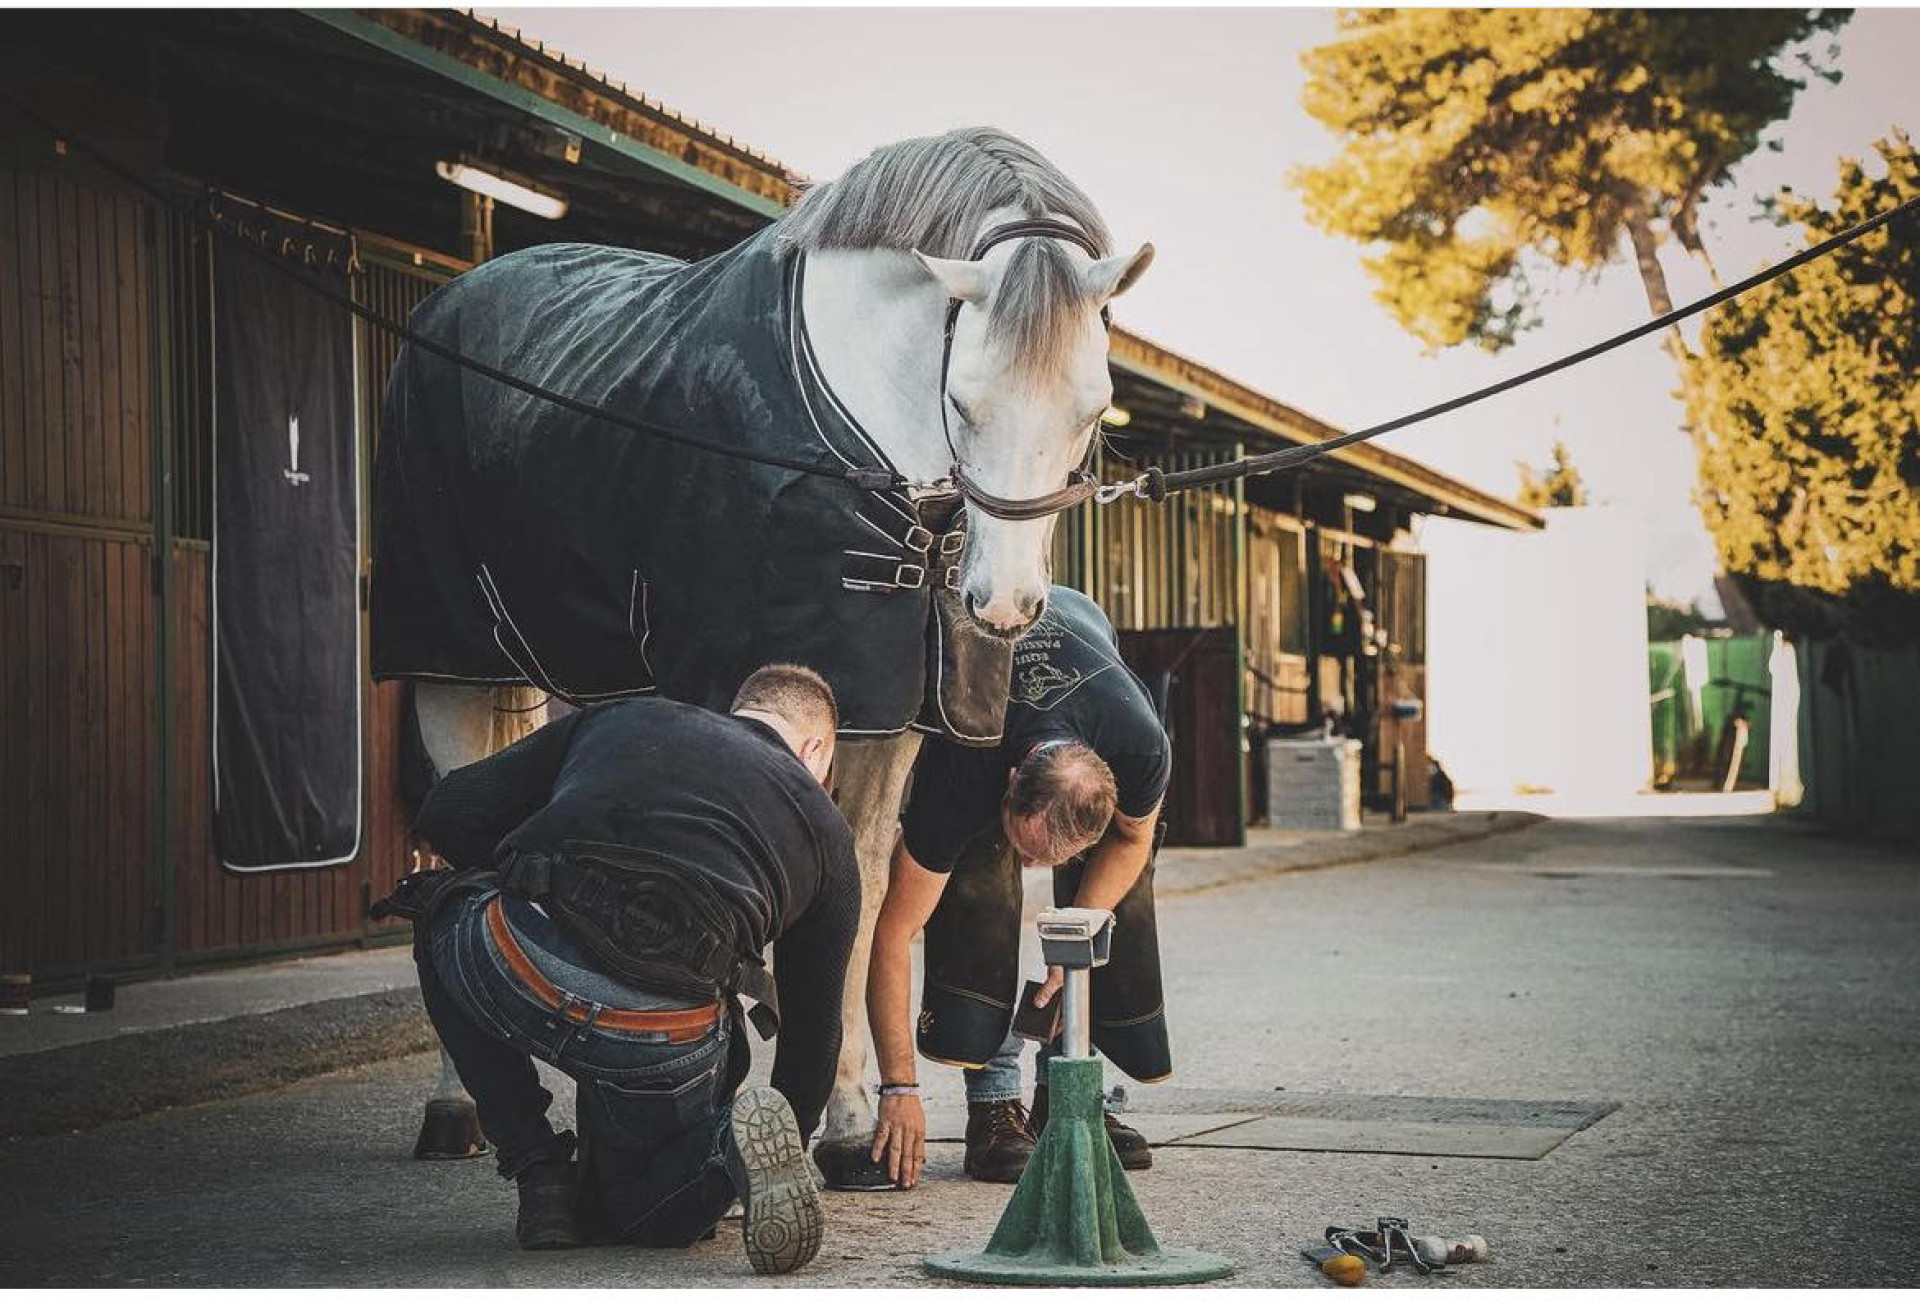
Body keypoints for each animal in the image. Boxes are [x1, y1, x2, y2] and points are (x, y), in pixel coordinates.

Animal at [403, 129, 1144, 1182]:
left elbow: (862, 893)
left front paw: (848, 1123)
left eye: (1094, 407)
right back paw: (456, 1108)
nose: (1001, 604)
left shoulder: (887, 712)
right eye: (964, 400)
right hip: (450, 664)